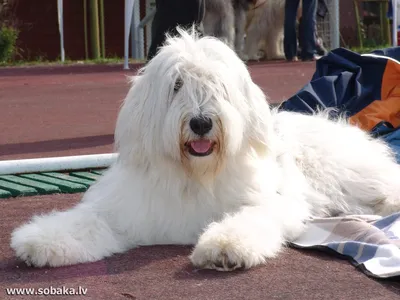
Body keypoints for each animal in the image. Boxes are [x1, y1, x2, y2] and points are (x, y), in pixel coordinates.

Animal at [10, 28, 400, 272]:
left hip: (348, 172)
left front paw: (225, 248)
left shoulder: (269, 202)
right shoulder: (125, 211)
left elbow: (249, 218)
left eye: (218, 86)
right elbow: (86, 222)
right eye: (177, 85)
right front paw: (39, 241)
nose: (200, 122)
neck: (194, 176)